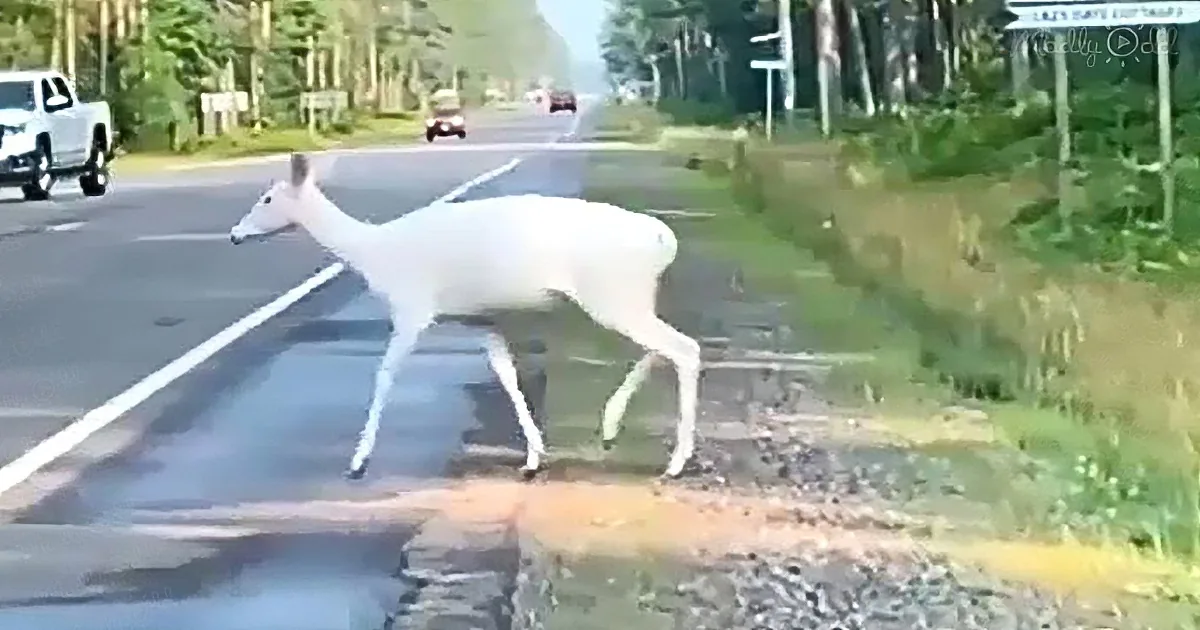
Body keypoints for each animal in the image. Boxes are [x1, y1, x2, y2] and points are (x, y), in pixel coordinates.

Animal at [228, 153, 701, 480]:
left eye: (267, 197)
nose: (234, 235)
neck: (375, 253)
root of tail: (666, 239)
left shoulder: (412, 308)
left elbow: (384, 376)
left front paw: (358, 461)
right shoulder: (480, 318)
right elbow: (506, 375)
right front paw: (533, 457)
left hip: (611, 292)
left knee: (683, 347)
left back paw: (674, 462)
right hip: (631, 295)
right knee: (669, 345)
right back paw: (610, 428)